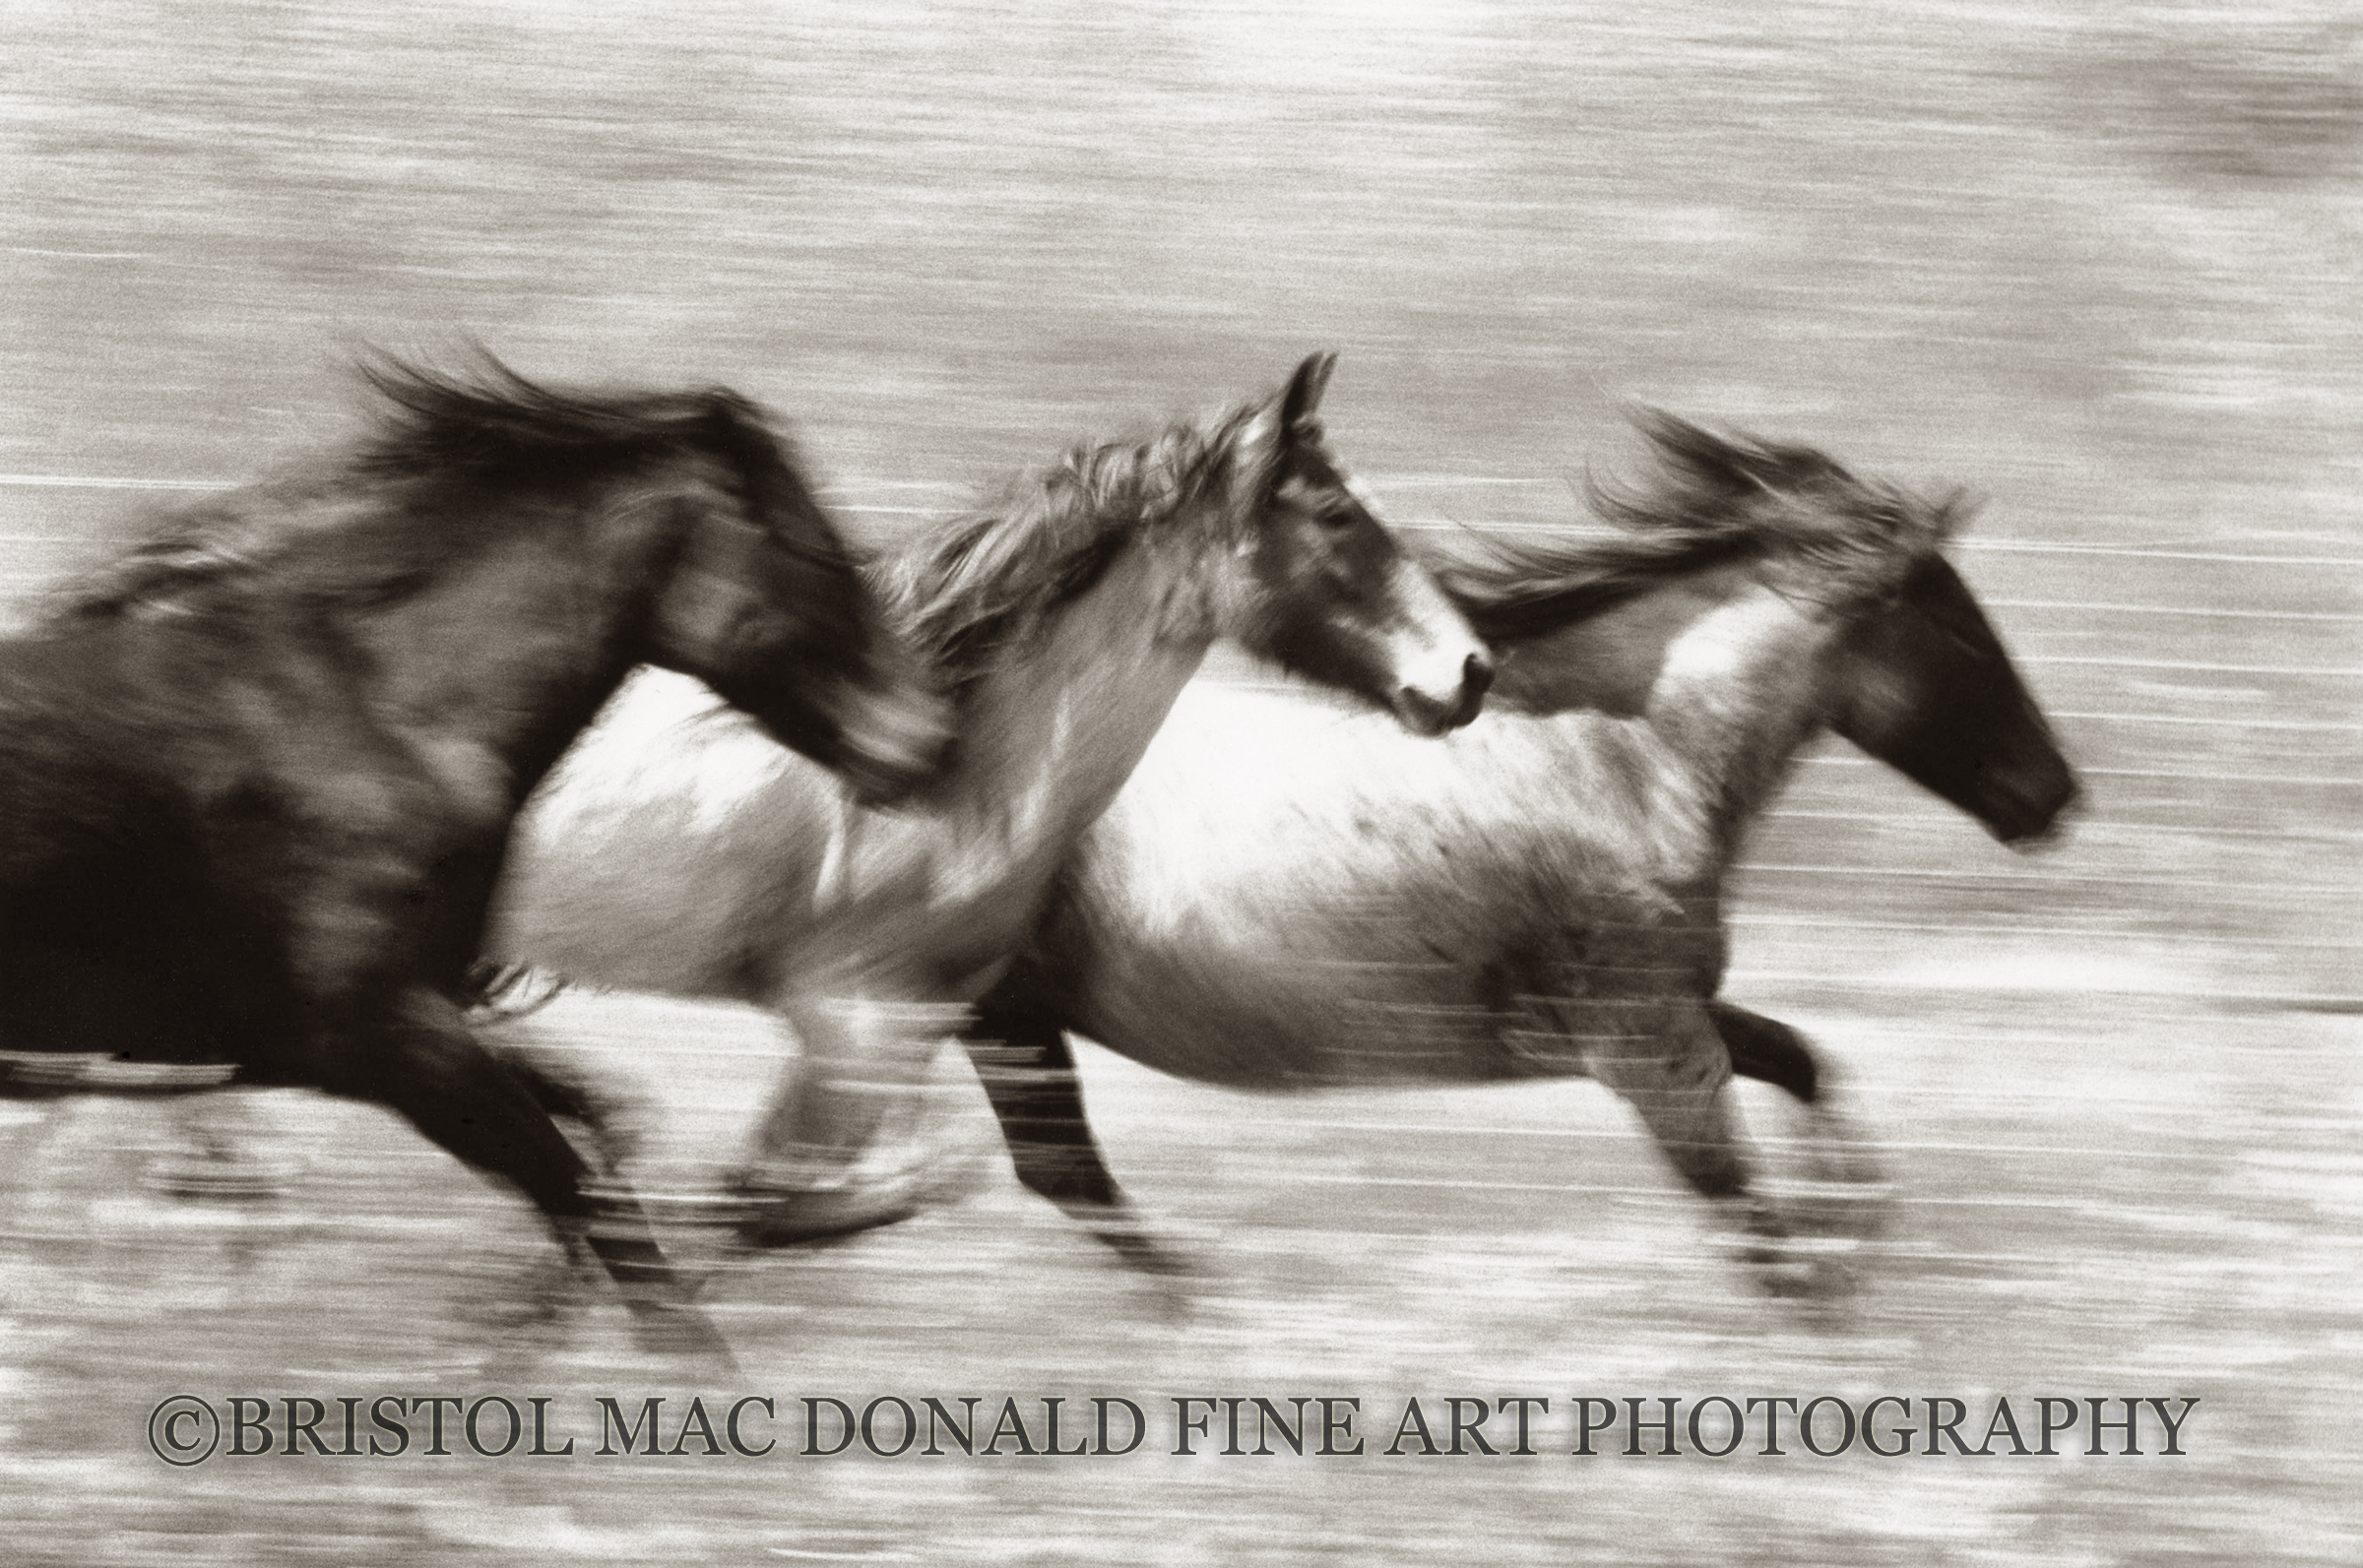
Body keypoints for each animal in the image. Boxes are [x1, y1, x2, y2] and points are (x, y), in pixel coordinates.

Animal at [0, 358, 940, 1359]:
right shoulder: (378, 1039)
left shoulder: (414, 1020)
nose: (926, 740)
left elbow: (604, 1136)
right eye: (824, 552)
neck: (379, 716)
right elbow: (587, 1196)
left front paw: (519, 1332)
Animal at [475, 351, 1493, 1237]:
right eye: (1336, 514)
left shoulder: (929, 1025)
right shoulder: (855, 1024)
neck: (951, 784)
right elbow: (766, 1206)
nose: (1472, 672)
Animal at [949, 410, 2079, 1293]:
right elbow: (1757, 1230)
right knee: (1064, 1176)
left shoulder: (1668, 1018)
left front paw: (1860, 1226)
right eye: (1962, 632)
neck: (1619, 760)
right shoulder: (1650, 1057)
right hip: (999, 1018)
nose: (2057, 795)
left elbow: (1801, 1059)